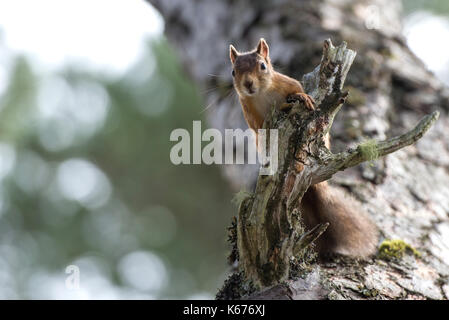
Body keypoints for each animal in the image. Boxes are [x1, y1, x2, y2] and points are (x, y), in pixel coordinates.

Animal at [229, 38, 376, 258]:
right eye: (233, 72)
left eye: (262, 66)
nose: (248, 84)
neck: (262, 93)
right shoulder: (249, 111)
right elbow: (259, 127)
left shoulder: (288, 83)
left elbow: (298, 90)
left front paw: (302, 97)